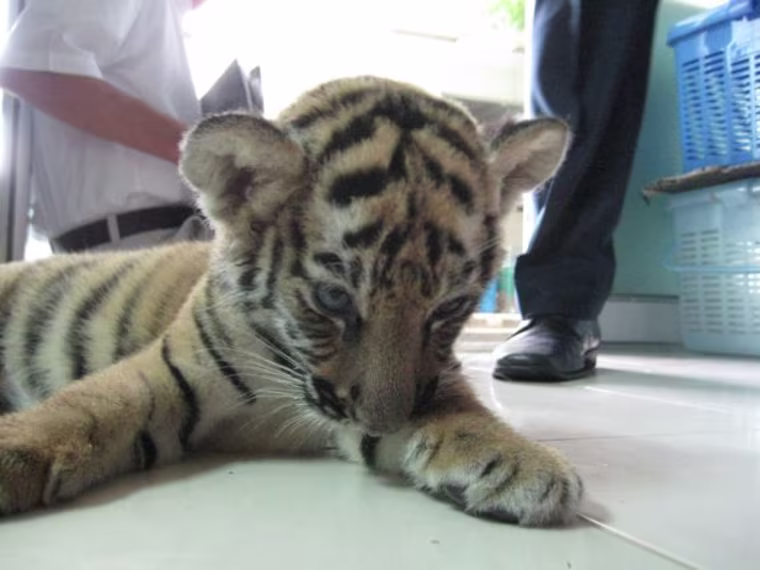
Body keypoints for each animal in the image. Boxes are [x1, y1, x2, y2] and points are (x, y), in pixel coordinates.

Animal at [0, 76, 581, 525]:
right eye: (334, 299)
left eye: (449, 309)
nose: (383, 423)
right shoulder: (167, 371)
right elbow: (87, 405)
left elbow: (453, 402)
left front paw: (519, 463)